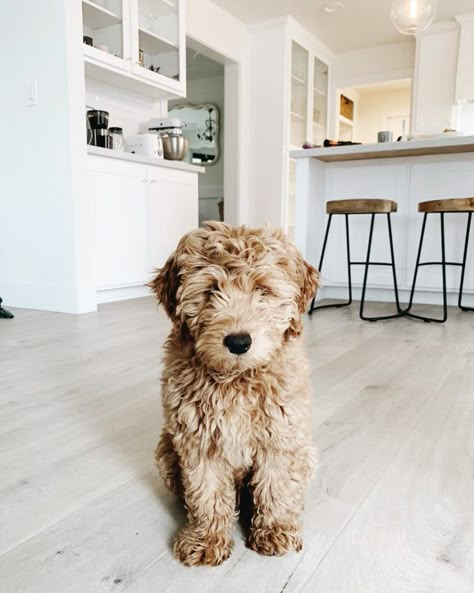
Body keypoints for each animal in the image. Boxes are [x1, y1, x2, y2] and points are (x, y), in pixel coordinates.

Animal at [150, 221, 320, 564]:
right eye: (210, 290)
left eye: (263, 290)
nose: (239, 341)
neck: (237, 379)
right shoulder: (197, 439)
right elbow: (206, 491)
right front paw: (205, 538)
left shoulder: (279, 434)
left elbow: (276, 485)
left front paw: (274, 530)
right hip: (165, 449)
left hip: (306, 451)